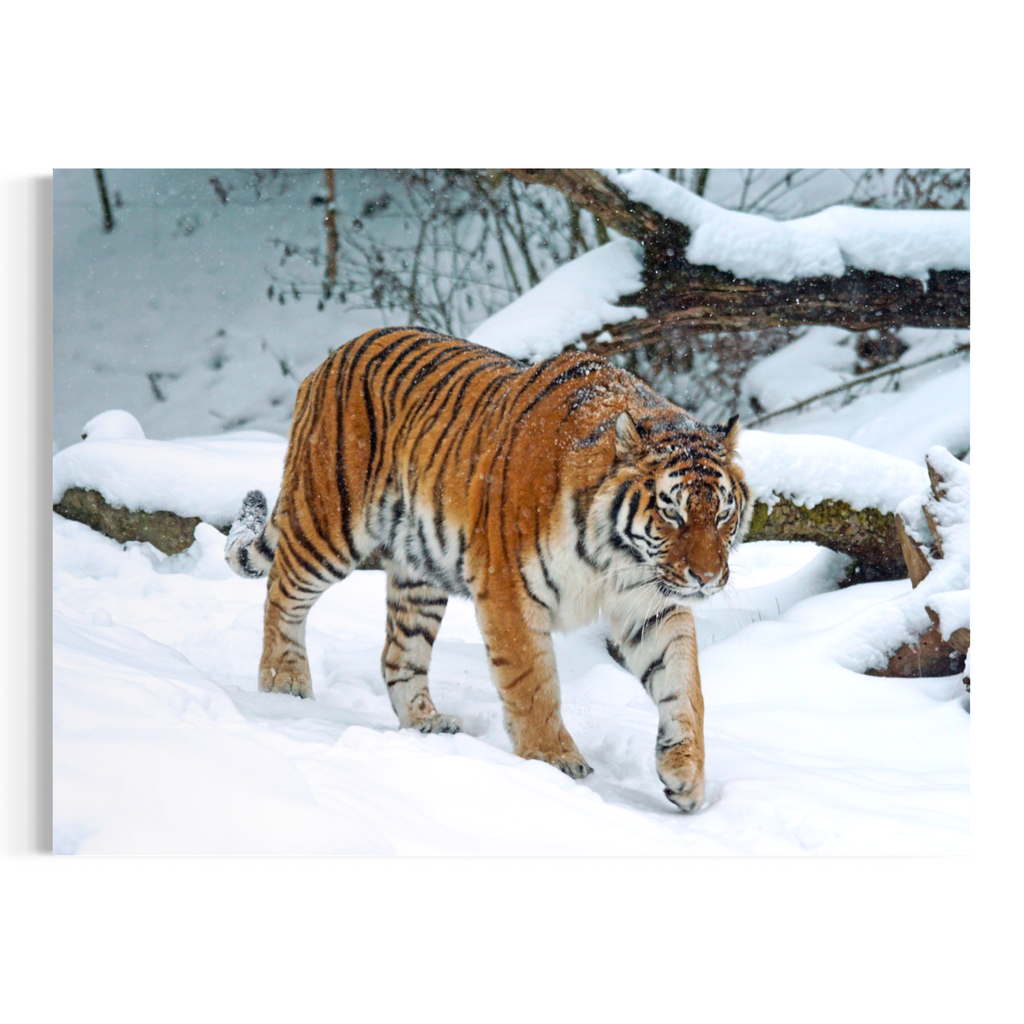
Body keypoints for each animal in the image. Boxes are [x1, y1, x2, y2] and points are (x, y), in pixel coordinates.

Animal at [226, 327, 752, 811]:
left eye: (723, 514)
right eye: (672, 512)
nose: (707, 578)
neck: (617, 557)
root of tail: (334, 355)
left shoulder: (651, 603)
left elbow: (684, 684)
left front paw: (686, 774)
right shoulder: (509, 590)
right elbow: (533, 682)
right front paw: (553, 759)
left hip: (419, 572)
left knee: (399, 654)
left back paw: (426, 723)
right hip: (328, 521)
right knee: (282, 592)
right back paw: (283, 683)